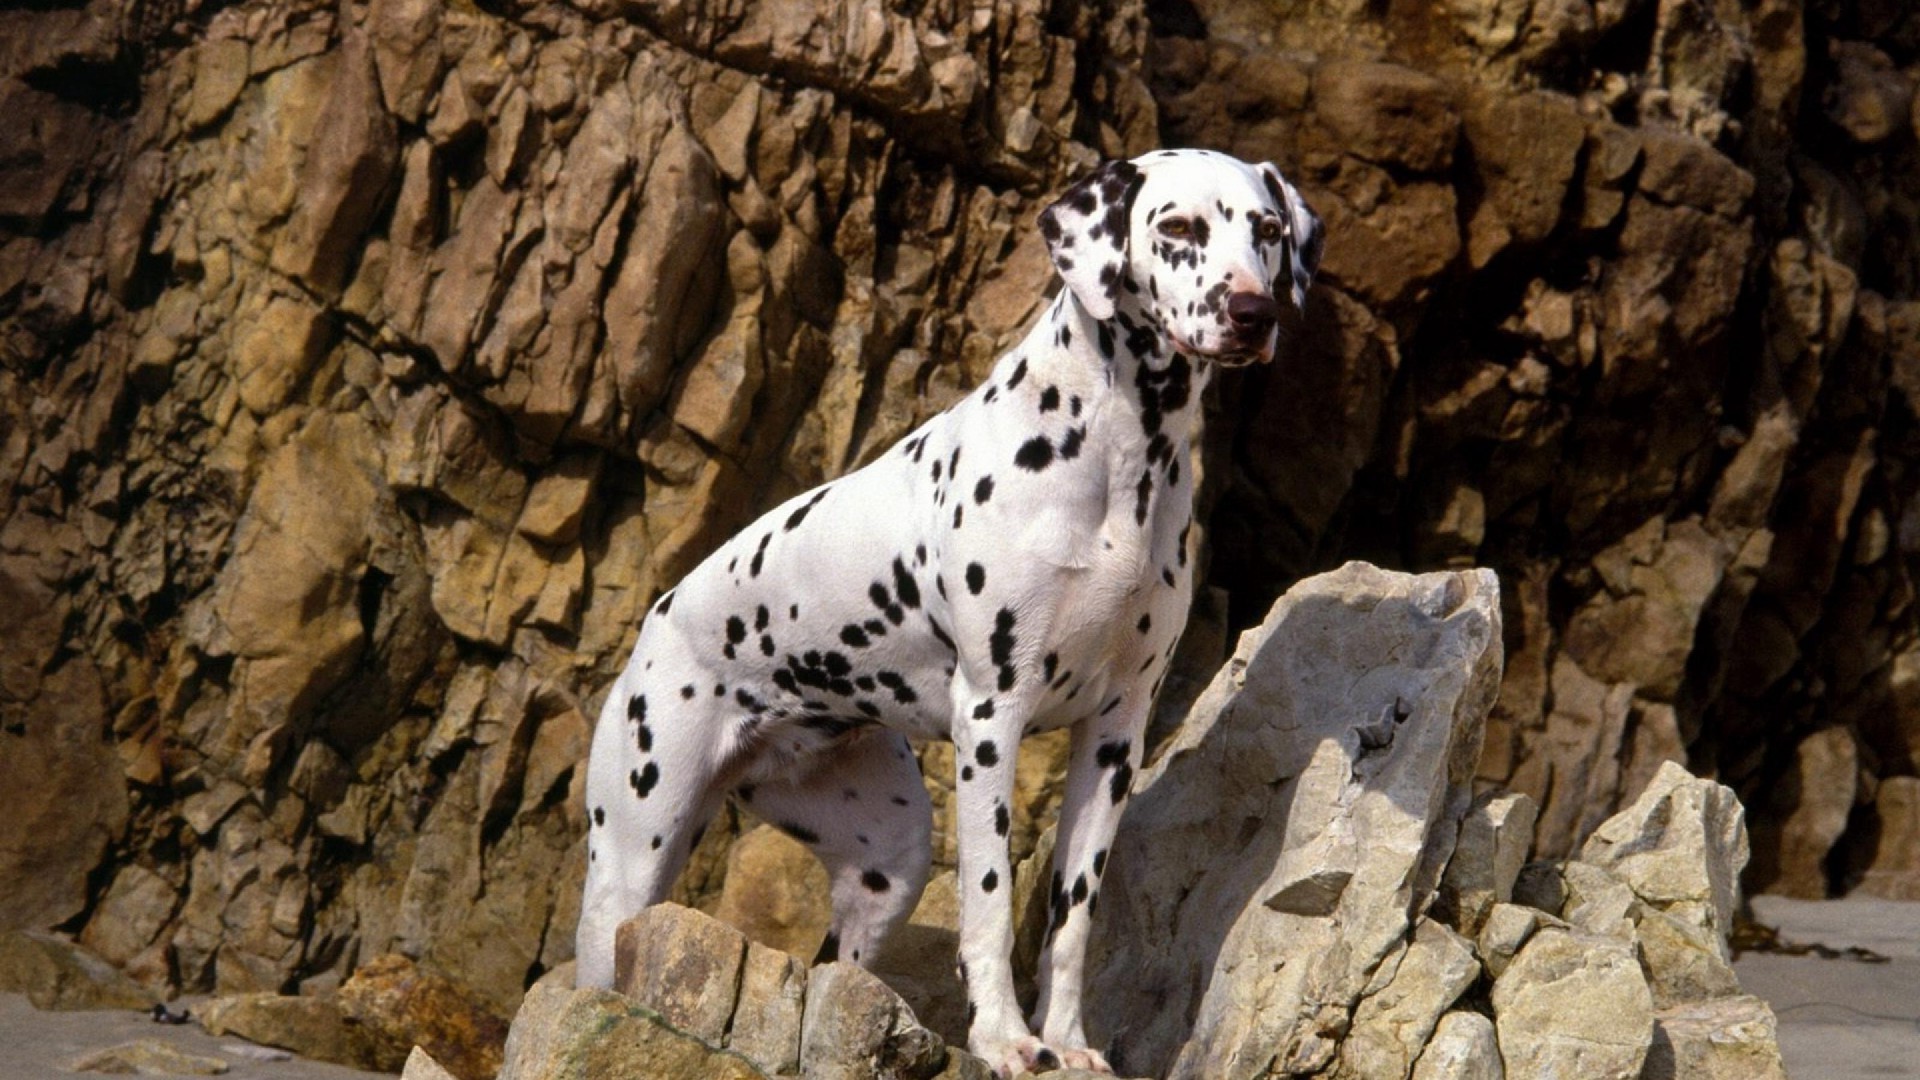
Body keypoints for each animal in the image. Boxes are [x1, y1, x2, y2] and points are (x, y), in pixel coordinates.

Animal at [568, 147, 1320, 1068]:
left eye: (1268, 229)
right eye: (1177, 226)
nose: (1253, 311)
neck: (1118, 456)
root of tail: (659, 617)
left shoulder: (1116, 733)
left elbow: (1072, 922)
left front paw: (1065, 1042)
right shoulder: (993, 718)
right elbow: (990, 906)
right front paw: (1002, 1040)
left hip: (887, 867)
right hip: (632, 858)